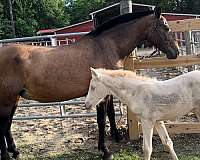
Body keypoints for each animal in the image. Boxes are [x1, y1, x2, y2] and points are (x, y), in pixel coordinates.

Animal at [0, 7, 178, 160]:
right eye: (166, 27)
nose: (175, 52)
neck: (106, 46)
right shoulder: (100, 94)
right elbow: (101, 119)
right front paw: (105, 151)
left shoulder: (107, 91)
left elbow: (111, 113)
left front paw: (116, 136)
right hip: (7, 99)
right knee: (3, 125)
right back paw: (7, 155)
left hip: (15, 98)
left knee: (7, 124)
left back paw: (15, 151)